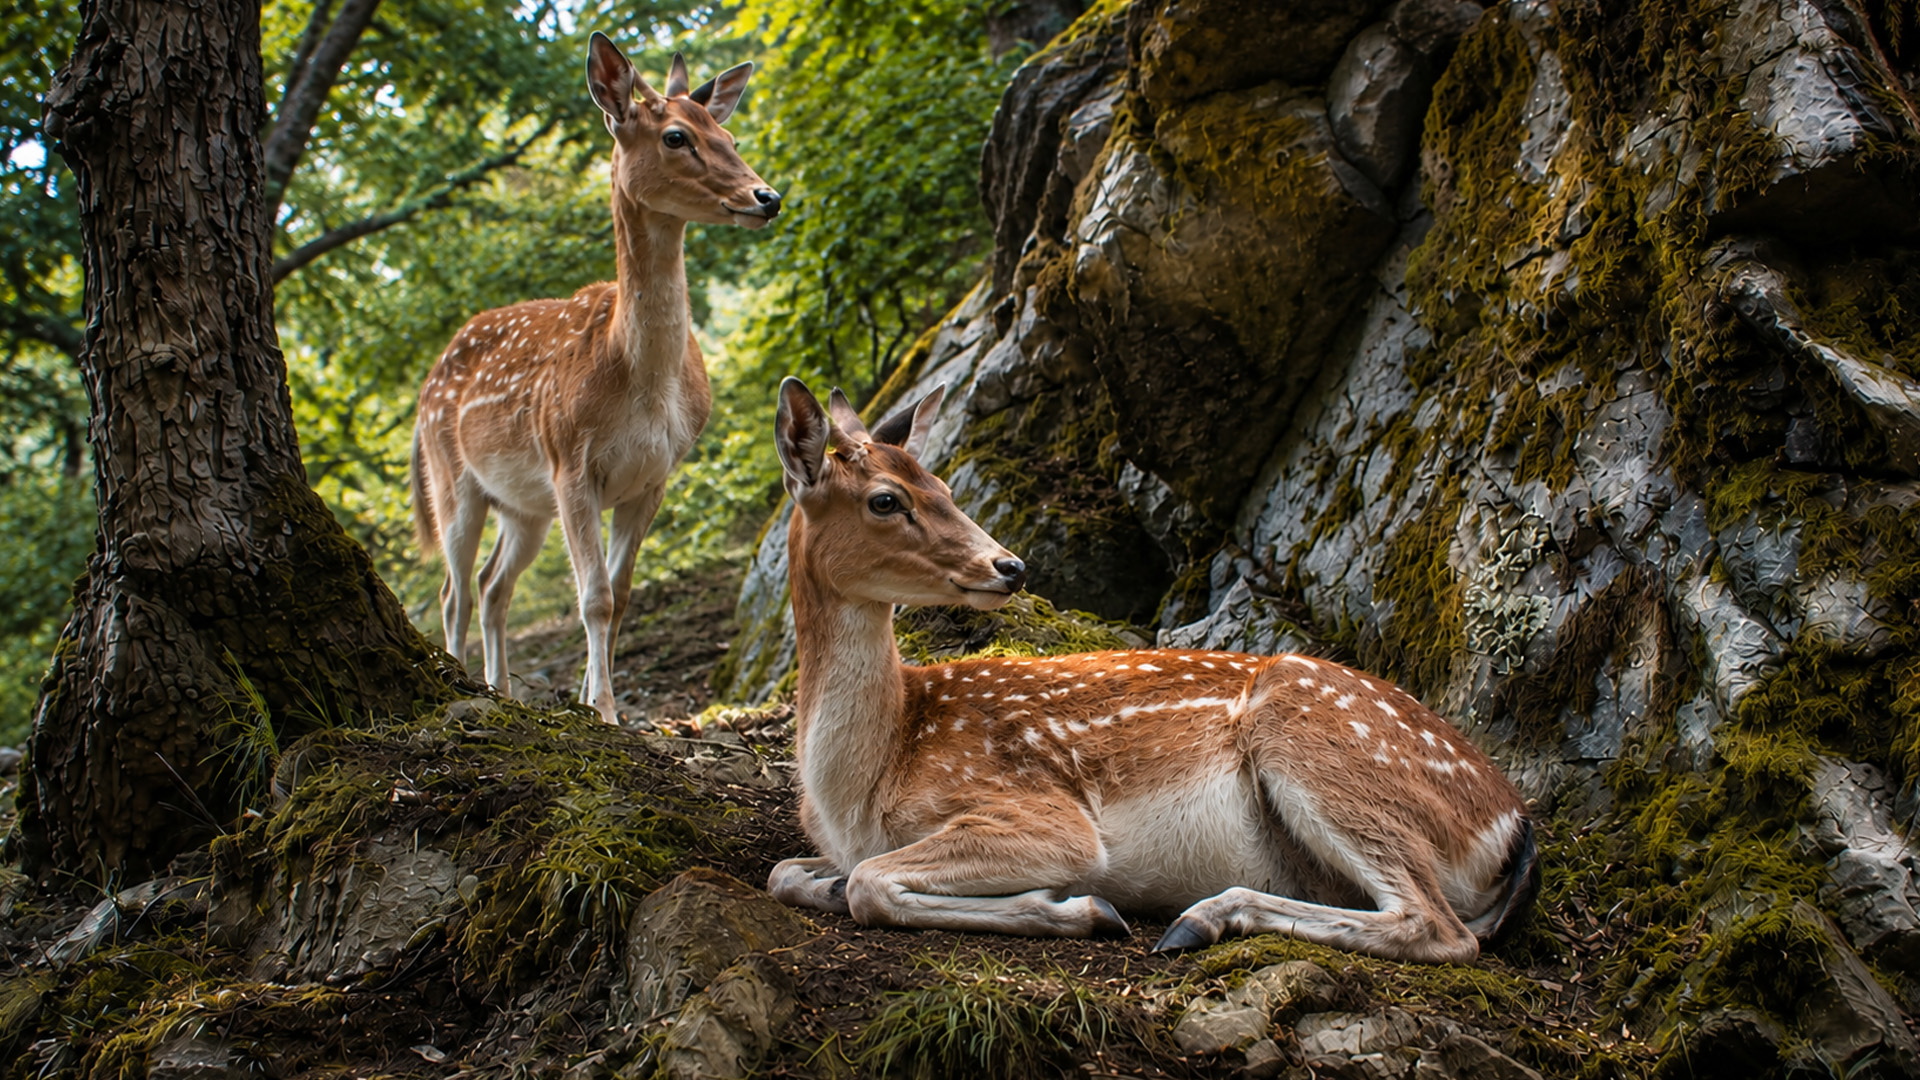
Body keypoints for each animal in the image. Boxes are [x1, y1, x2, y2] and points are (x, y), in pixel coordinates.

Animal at [412, 33, 779, 723]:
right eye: (675, 136)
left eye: (730, 135)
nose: (766, 197)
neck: (642, 382)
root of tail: (429, 376)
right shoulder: (570, 462)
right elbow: (594, 598)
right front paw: (605, 711)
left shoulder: (655, 475)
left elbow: (621, 592)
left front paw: (593, 702)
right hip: (453, 478)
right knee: (454, 589)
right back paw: (466, 682)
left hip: (523, 506)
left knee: (492, 584)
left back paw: (501, 690)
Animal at [763, 377, 1540, 962]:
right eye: (886, 499)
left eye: (947, 487)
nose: (1010, 566)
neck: (859, 788)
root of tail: (1514, 826)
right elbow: (786, 871)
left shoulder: (1043, 814)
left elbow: (868, 883)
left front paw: (1084, 907)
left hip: (1319, 743)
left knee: (1440, 928)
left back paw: (1197, 919)